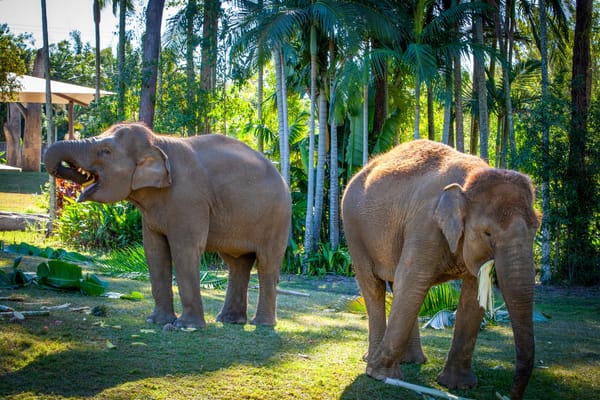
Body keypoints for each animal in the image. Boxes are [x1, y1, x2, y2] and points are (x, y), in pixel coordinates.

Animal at [45, 122, 292, 328]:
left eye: (105, 151)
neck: (158, 141)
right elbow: (154, 251)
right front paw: (155, 322)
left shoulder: (188, 199)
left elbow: (184, 249)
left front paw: (185, 327)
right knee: (237, 264)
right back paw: (229, 321)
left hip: (278, 218)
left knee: (266, 264)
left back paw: (262, 324)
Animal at [342, 139, 544, 398]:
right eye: (487, 233)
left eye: (535, 228)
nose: (510, 395)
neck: (469, 180)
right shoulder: (425, 224)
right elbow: (413, 281)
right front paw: (380, 376)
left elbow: (471, 296)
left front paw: (459, 386)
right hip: (353, 229)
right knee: (374, 287)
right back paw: (374, 362)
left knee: (398, 286)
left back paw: (413, 361)